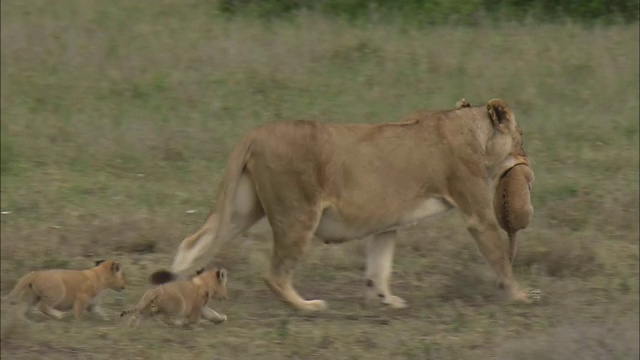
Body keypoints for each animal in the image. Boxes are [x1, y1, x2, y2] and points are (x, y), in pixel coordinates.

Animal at [152, 99, 532, 312]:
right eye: (521, 138)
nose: (528, 161)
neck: (469, 130)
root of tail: (256, 133)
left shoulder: (387, 222)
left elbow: (379, 265)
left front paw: (385, 300)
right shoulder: (477, 213)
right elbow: (500, 256)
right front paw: (520, 295)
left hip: (241, 210)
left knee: (193, 243)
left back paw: (176, 290)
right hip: (298, 214)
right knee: (275, 274)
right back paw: (307, 306)